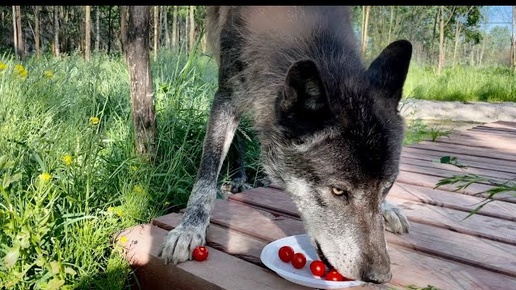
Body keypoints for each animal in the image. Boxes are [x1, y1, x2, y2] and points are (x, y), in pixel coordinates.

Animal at [159, 6, 414, 284]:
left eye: (387, 187)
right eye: (338, 190)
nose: (380, 276)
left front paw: (387, 208)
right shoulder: (227, 92)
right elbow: (208, 167)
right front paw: (190, 227)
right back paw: (238, 178)